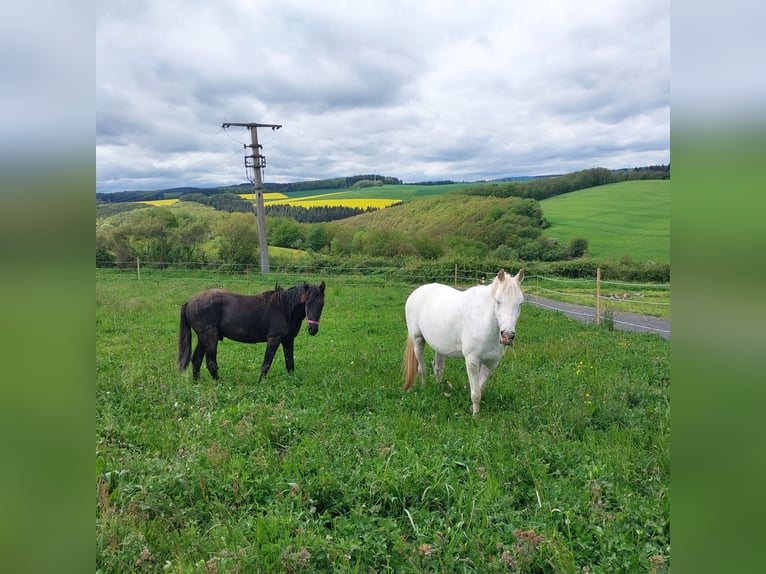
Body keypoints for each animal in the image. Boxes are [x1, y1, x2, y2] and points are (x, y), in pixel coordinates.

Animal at [178, 282, 326, 382]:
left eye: (322, 304)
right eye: (307, 303)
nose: (313, 329)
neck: (284, 308)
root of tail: (189, 302)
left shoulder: (288, 340)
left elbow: (290, 363)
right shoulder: (274, 339)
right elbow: (266, 364)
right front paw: (261, 383)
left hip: (203, 338)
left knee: (196, 360)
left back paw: (197, 383)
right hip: (210, 337)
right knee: (210, 363)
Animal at [404, 268, 524, 414]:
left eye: (520, 303)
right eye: (498, 301)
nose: (507, 335)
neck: (484, 322)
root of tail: (416, 292)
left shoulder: (491, 363)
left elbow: (480, 388)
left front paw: (473, 408)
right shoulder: (472, 361)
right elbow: (476, 394)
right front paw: (475, 416)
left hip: (441, 346)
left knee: (437, 367)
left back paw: (439, 388)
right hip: (417, 340)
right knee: (421, 368)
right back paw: (423, 388)